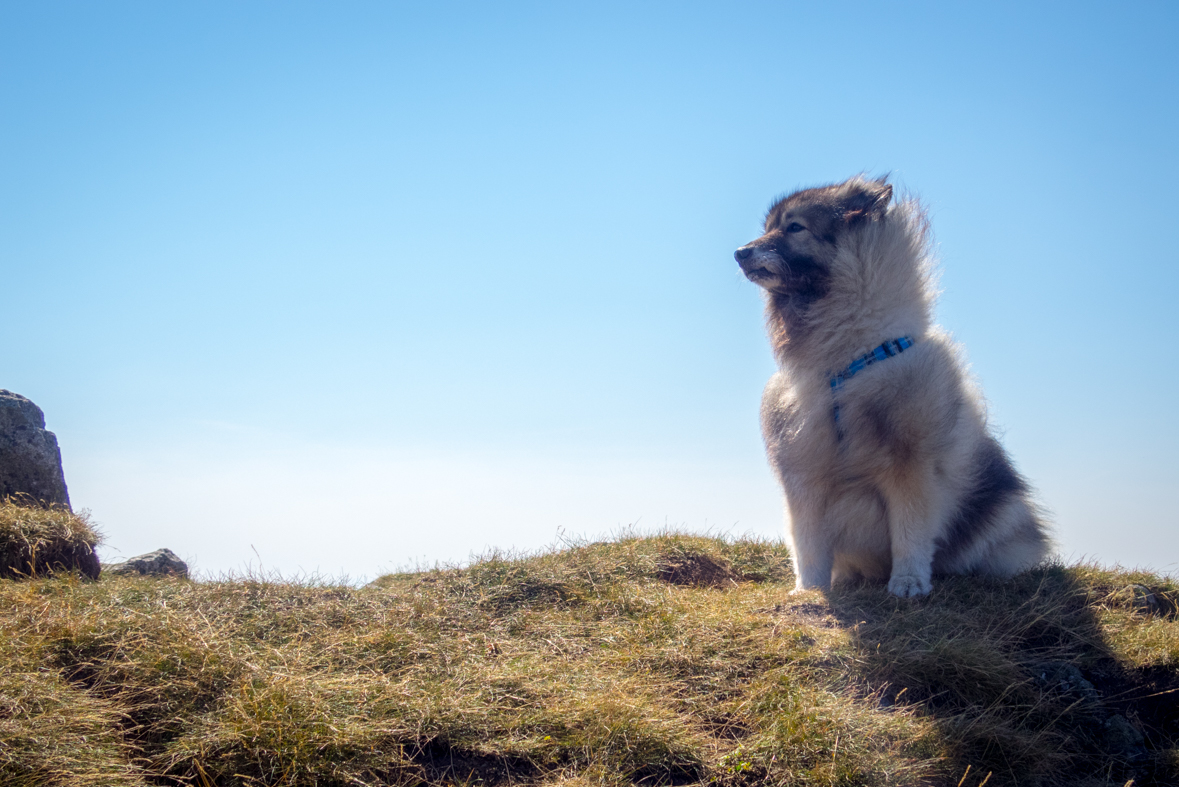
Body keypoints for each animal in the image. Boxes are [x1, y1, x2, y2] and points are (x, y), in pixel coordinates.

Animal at [735, 176, 1051, 596]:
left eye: (794, 227)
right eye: (769, 227)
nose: (739, 252)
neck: (844, 363)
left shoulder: (910, 466)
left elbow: (910, 533)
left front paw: (908, 582)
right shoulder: (804, 476)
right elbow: (808, 545)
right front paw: (809, 591)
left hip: (1003, 512)